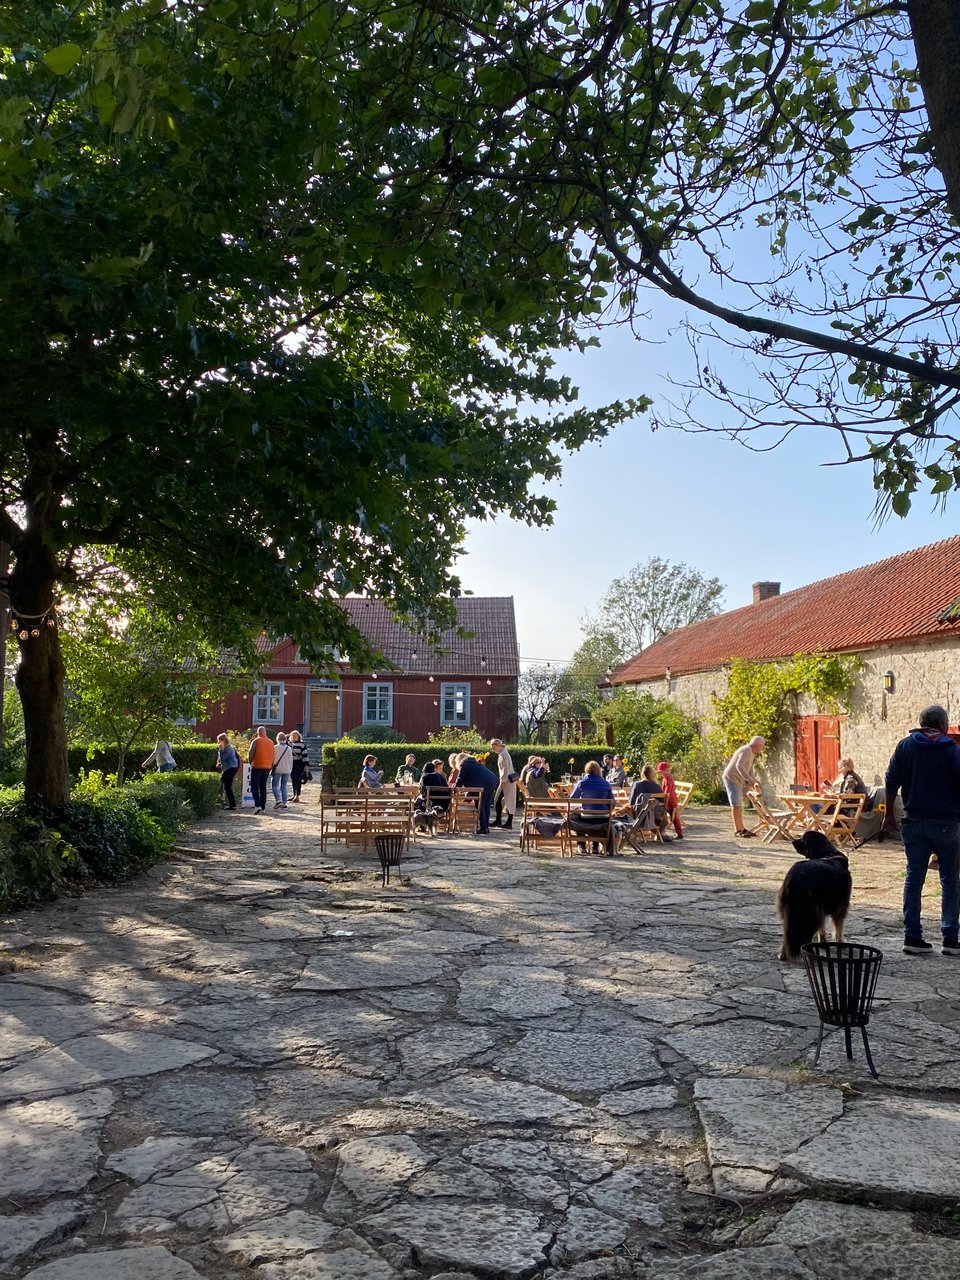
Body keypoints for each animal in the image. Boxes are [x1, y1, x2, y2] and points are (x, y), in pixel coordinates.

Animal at [778, 829, 855, 962]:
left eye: (803, 838)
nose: (792, 841)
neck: (828, 854)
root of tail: (796, 878)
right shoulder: (840, 907)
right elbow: (839, 928)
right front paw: (841, 942)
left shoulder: (822, 908)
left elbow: (822, 928)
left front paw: (823, 942)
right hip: (809, 913)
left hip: (790, 912)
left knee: (788, 934)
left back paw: (784, 955)